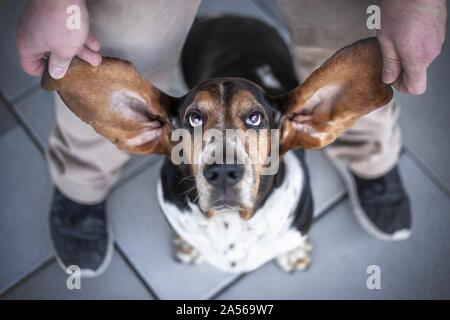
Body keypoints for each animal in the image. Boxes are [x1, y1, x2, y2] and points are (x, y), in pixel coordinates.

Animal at [44, 16, 392, 274]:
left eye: (255, 117)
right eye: (194, 117)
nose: (223, 172)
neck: (232, 225)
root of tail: (223, 16)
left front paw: (294, 253)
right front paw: (187, 246)